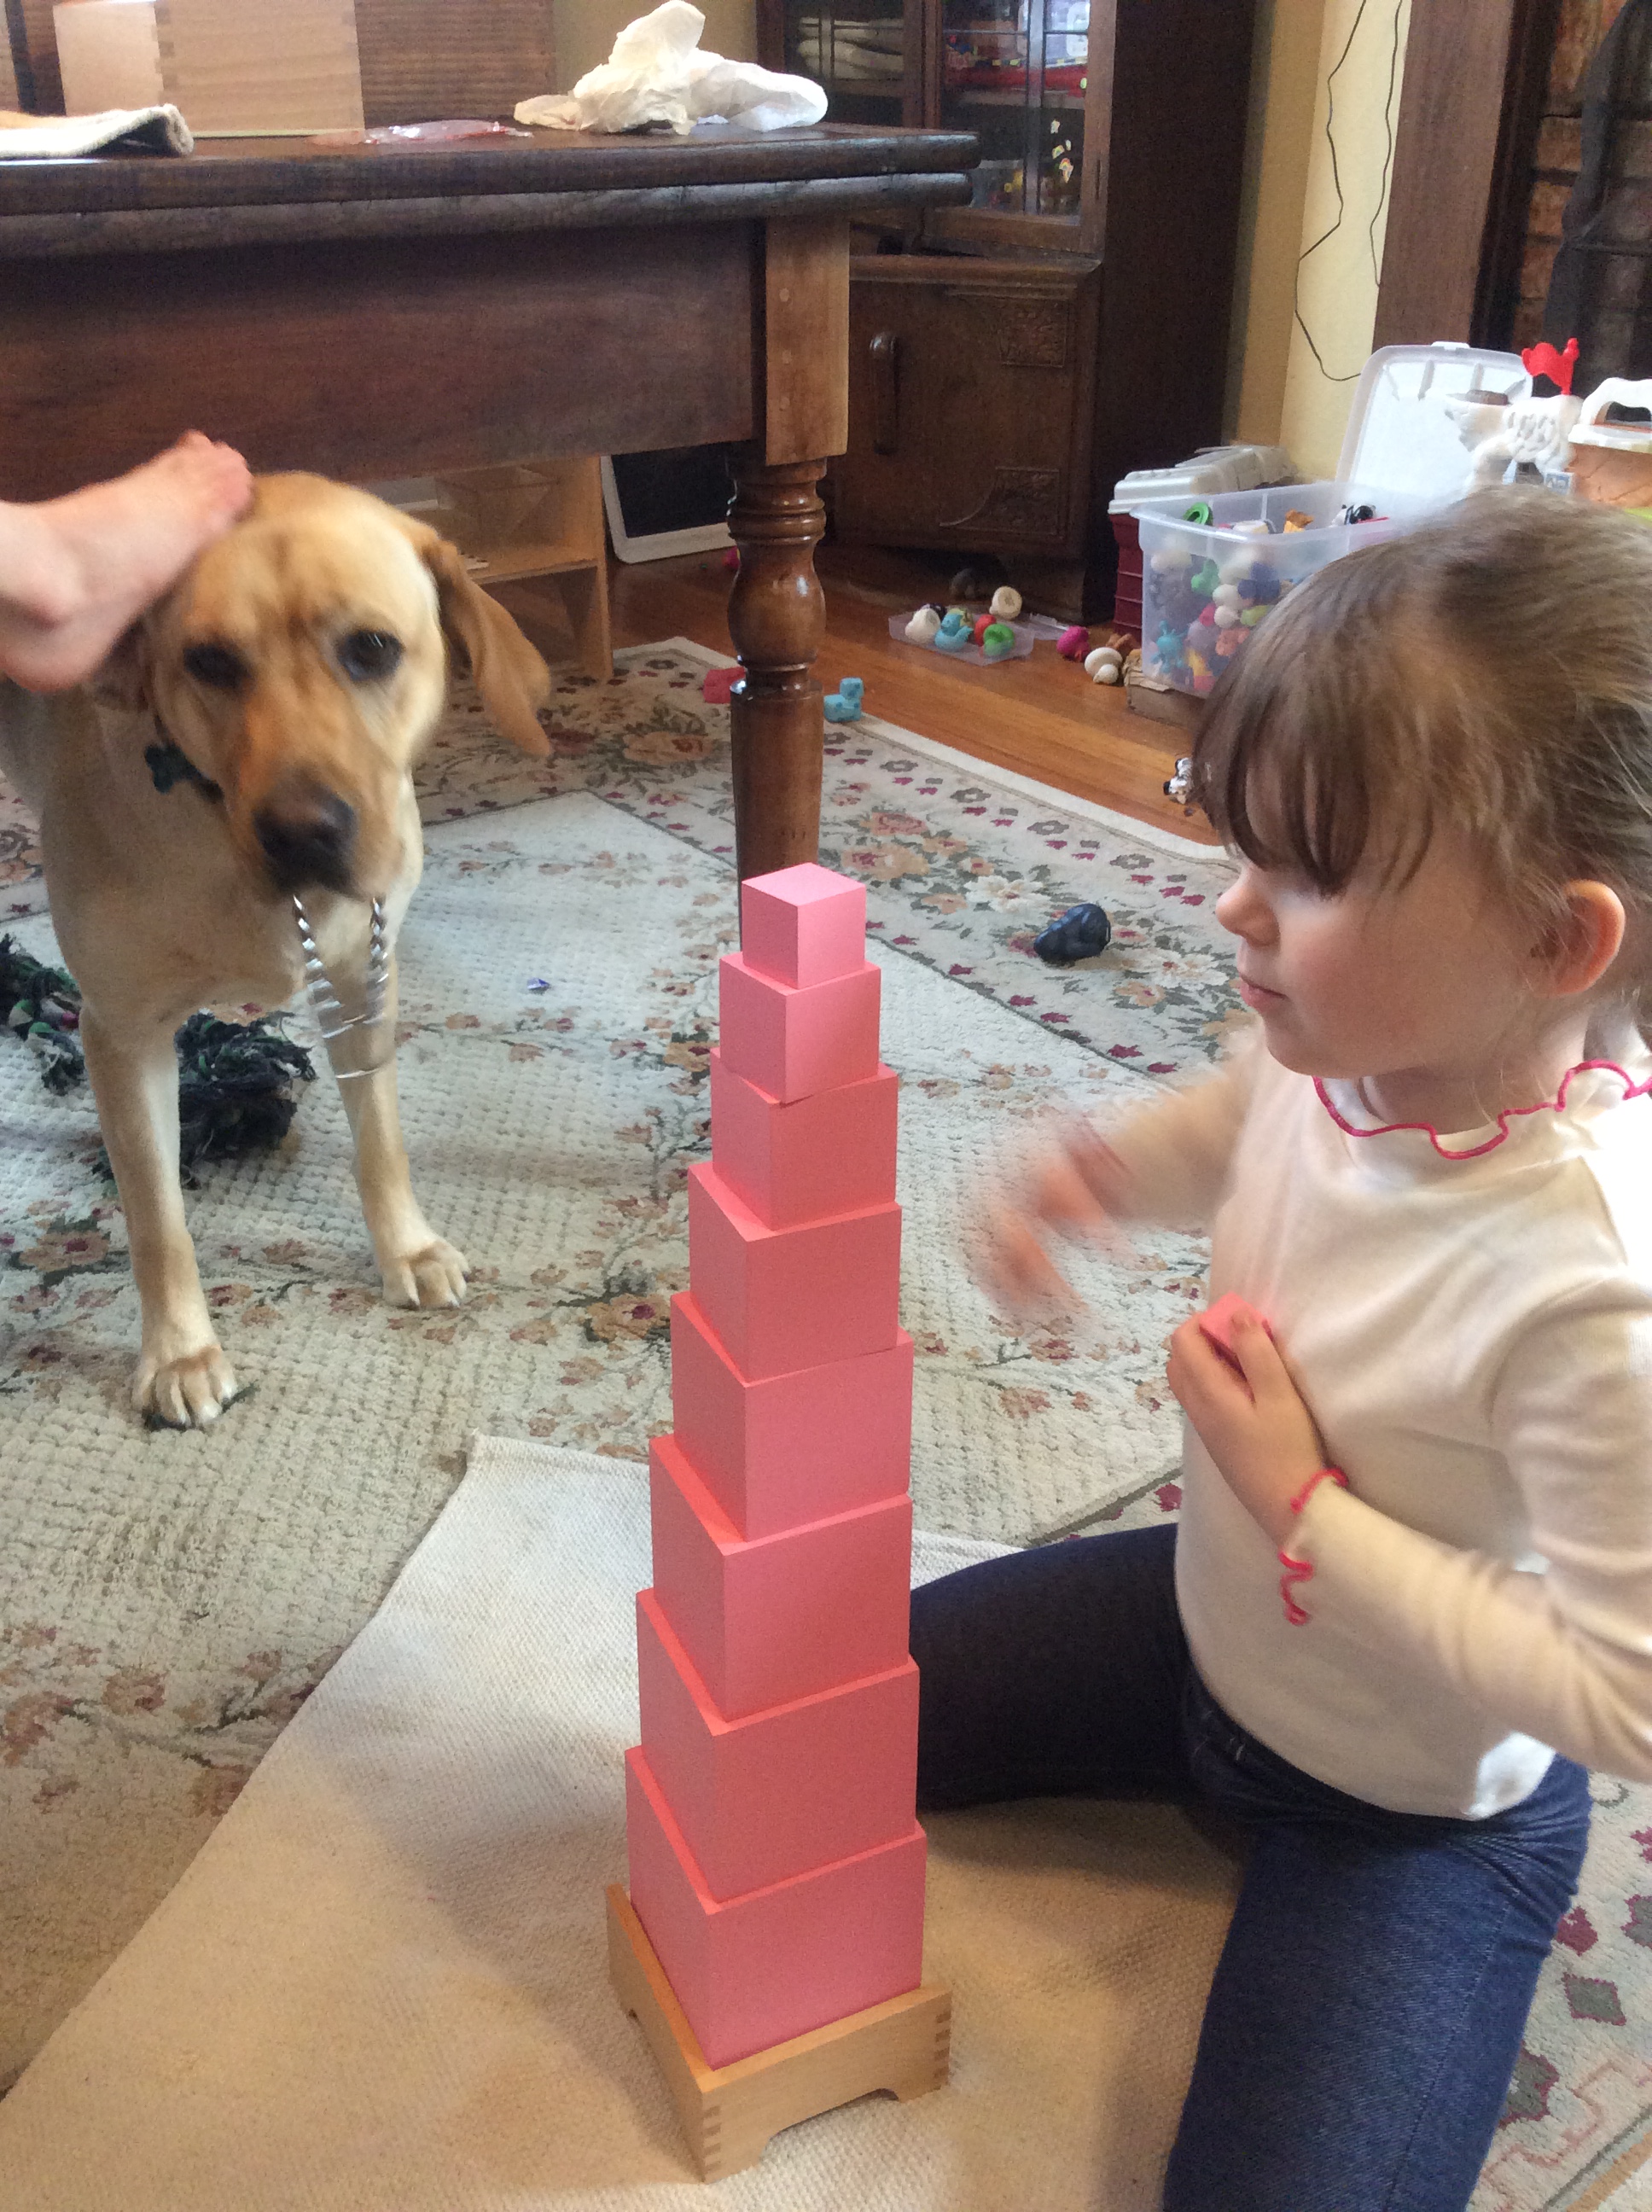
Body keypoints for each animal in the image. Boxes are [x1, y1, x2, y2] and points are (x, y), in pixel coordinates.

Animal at [0, 472, 552, 1426]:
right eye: (210, 662)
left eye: (372, 648)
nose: (302, 831)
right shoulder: (124, 1033)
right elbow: (157, 1217)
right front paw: (180, 1352)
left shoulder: (363, 984)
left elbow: (381, 1140)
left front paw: (405, 1249)